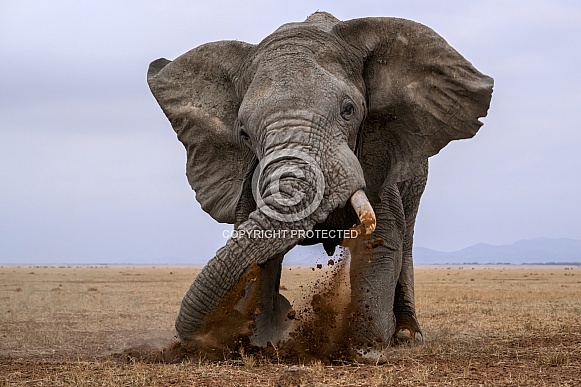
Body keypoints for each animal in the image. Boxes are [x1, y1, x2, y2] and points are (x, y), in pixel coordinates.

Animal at [145, 9, 490, 360]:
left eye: (348, 110)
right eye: (243, 133)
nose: (200, 337)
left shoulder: (377, 156)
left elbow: (382, 240)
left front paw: (364, 348)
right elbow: (260, 255)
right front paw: (262, 342)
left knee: (406, 238)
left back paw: (407, 336)